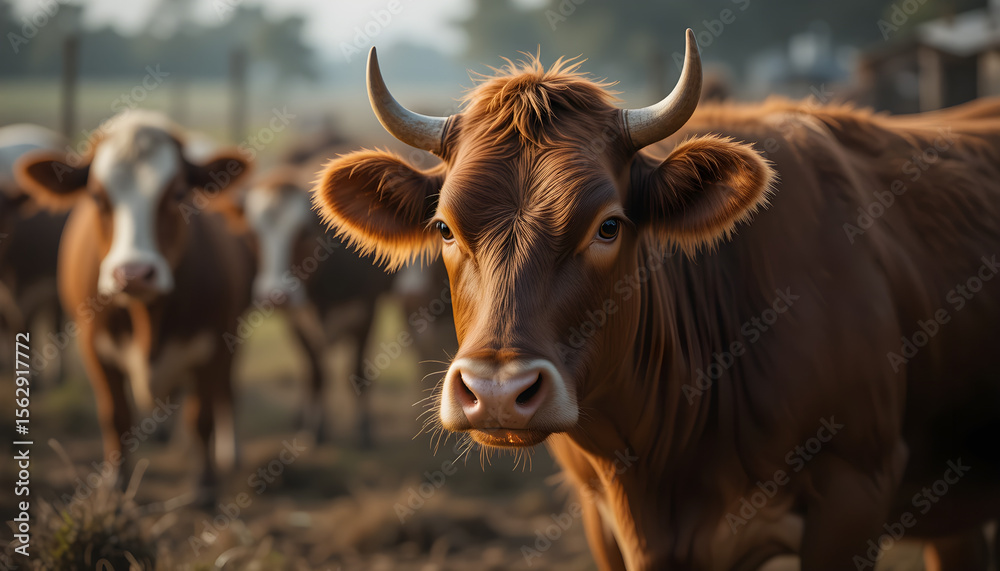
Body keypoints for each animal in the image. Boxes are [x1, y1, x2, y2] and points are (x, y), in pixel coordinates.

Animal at [15, 110, 255, 499]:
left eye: (178, 193)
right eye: (97, 196)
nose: (134, 273)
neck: (149, 317)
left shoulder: (216, 344)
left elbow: (202, 416)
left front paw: (205, 484)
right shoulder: (94, 346)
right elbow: (116, 415)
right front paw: (116, 484)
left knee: (224, 393)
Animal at [242, 160, 395, 447]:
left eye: (304, 232)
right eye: (253, 234)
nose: (274, 295)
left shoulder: (366, 313)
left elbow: (358, 371)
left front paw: (364, 430)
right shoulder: (298, 321)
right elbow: (315, 375)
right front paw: (316, 429)